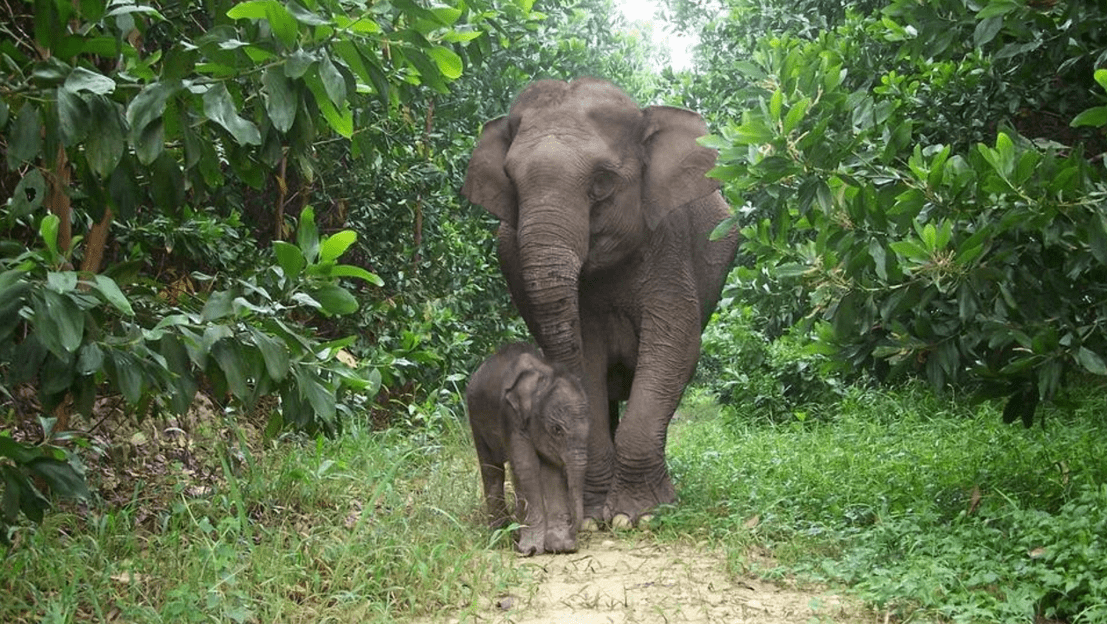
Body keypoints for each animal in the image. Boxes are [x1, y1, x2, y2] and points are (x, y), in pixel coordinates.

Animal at [460, 77, 738, 525]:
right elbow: (586, 354)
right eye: (511, 184)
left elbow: (674, 346)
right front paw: (594, 515)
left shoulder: (669, 243)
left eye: (602, 184)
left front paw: (636, 515)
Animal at [467, 342, 591, 551]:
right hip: (474, 418)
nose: (573, 535)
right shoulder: (510, 416)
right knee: (492, 469)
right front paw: (530, 549)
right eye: (557, 429)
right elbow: (527, 467)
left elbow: (551, 471)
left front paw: (559, 547)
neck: (544, 376)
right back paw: (500, 532)